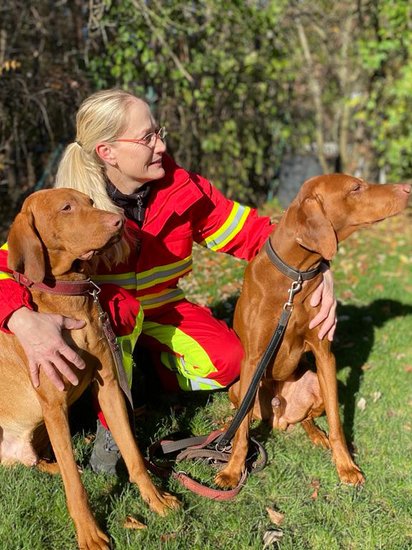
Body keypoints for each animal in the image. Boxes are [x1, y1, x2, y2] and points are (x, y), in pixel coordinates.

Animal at [0, 188, 180, 548]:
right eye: (66, 208)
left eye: (91, 203)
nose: (118, 221)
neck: (68, 296)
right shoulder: (55, 405)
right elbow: (75, 487)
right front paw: (89, 531)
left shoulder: (109, 387)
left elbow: (133, 454)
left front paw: (155, 499)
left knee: (35, 461)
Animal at [217, 175, 410, 490]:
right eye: (355, 187)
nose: (408, 188)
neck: (294, 277)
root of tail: (279, 416)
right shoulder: (253, 358)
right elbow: (243, 428)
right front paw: (233, 470)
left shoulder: (324, 355)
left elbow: (336, 422)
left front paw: (346, 465)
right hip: (239, 387)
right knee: (241, 416)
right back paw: (226, 428)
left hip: (315, 384)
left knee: (307, 419)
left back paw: (317, 435)